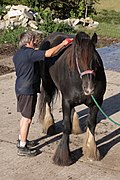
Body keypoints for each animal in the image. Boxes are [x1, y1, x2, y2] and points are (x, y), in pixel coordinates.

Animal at [38, 32, 106, 166]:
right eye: (78, 58)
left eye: (95, 60)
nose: (89, 88)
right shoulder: (66, 102)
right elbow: (66, 126)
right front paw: (63, 157)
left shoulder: (97, 102)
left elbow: (91, 123)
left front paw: (91, 150)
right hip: (47, 82)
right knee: (47, 100)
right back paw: (49, 125)